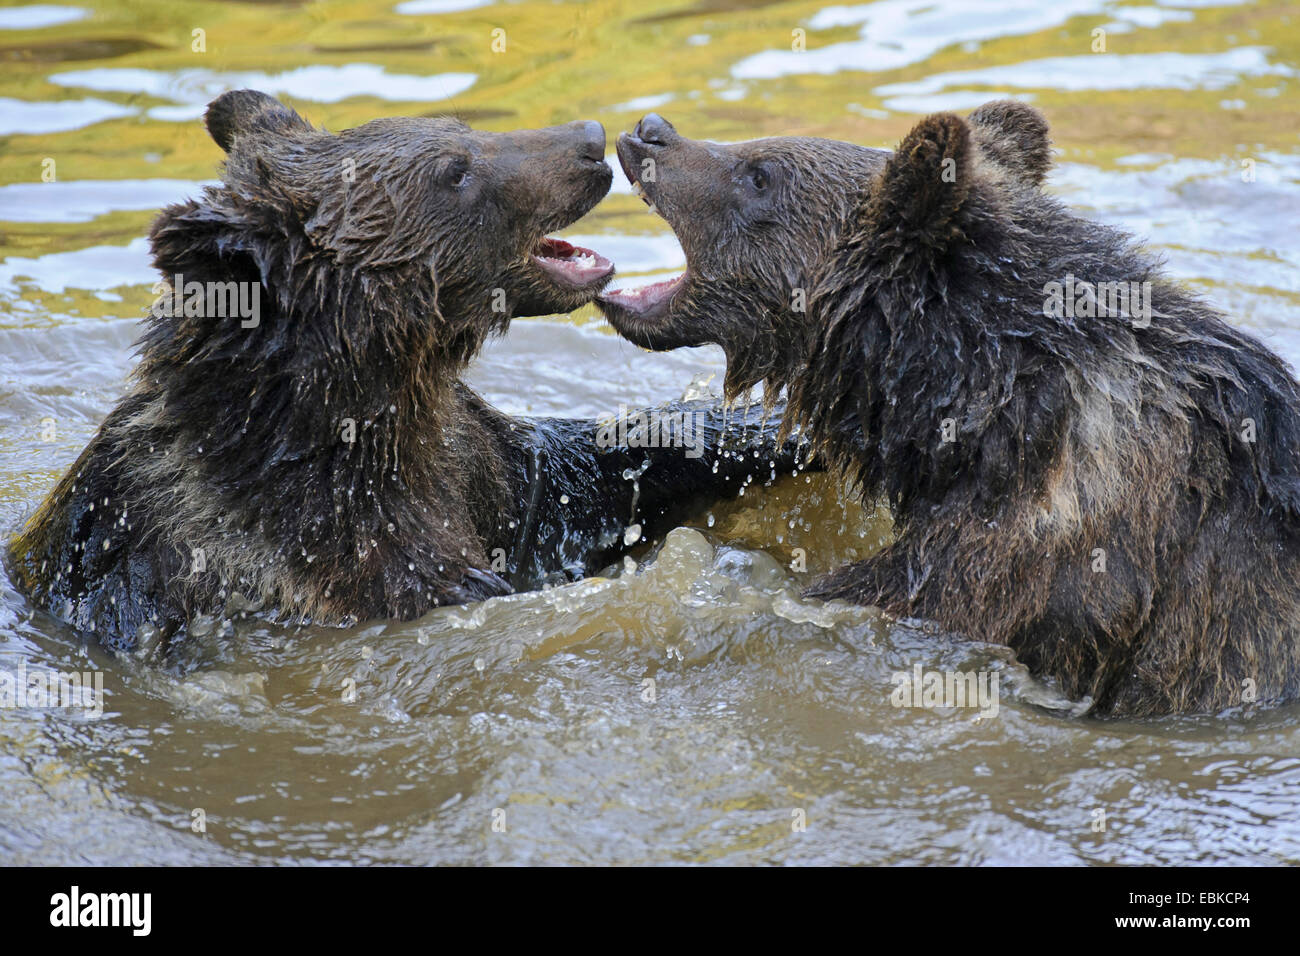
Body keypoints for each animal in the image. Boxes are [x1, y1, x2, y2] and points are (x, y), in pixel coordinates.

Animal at [6, 90, 808, 655]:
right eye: (454, 172)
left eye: (462, 130)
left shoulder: (477, 462)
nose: (587, 140)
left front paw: (774, 431)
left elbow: (589, 469)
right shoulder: (329, 551)